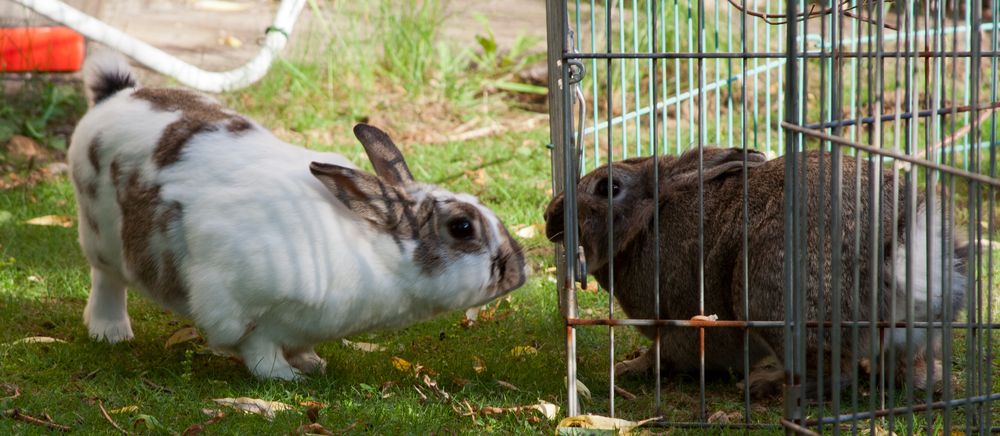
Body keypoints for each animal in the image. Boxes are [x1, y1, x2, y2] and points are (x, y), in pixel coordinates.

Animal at [67, 52, 528, 382]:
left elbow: (299, 345)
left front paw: (312, 363)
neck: (374, 251)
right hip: (101, 235)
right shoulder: (242, 311)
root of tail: (116, 97)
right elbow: (259, 352)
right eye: (462, 227)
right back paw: (111, 331)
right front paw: (286, 377)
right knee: (107, 279)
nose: (520, 271)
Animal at [548, 147, 968, 398]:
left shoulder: (685, 320)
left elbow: (665, 353)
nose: (551, 215)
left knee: (833, 372)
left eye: (608, 187)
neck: (649, 220)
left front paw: (628, 368)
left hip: (770, 296)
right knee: (911, 369)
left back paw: (767, 385)